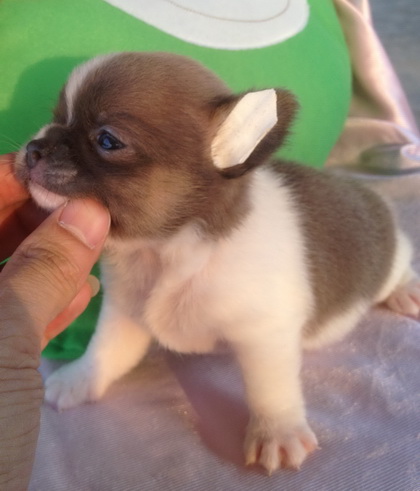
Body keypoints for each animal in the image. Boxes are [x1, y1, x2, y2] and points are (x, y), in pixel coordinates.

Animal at [15, 52, 420, 473]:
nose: (34, 148)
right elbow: (107, 351)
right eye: (56, 117)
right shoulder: (125, 312)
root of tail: (363, 192)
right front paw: (80, 378)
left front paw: (277, 431)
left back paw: (407, 290)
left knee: (401, 263)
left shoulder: (265, 335)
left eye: (108, 140)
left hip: (388, 256)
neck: (166, 249)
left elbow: (270, 388)